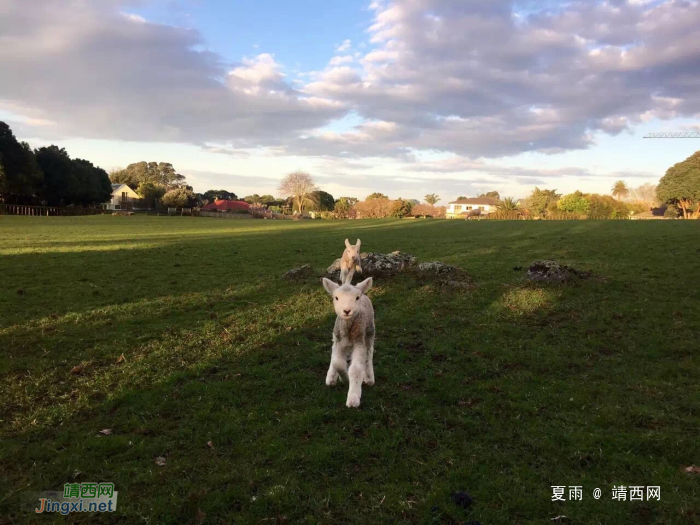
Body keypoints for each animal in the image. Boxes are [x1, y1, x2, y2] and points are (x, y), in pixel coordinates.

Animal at [322, 276, 374, 408]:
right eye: (336, 298)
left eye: (356, 298)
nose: (346, 310)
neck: (348, 330)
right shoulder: (339, 342)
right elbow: (338, 363)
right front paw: (344, 378)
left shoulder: (359, 342)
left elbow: (356, 369)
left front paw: (353, 398)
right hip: (336, 336)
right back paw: (331, 377)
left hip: (369, 332)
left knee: (369, 355)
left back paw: (369, 377)